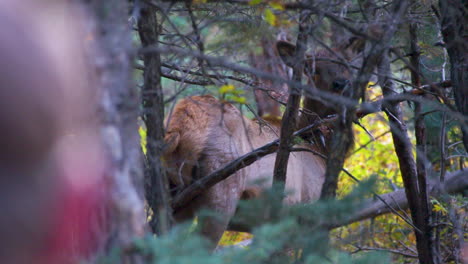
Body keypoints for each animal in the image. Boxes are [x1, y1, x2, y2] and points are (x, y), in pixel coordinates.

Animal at [163, 38, 360, 245]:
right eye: (312, 69)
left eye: (348, 63)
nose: (341, 84)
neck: (321, 151)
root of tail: (178, 126)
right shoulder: (302, 213)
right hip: (220, 188)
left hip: (175, 197)